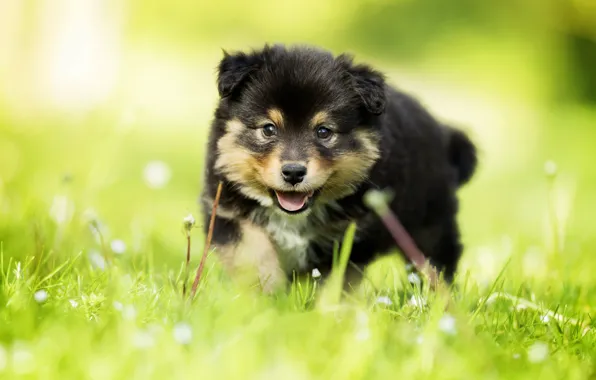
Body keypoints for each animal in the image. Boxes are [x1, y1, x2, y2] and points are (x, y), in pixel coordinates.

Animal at [200, 44, 480, 294]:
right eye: (268, 129)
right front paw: (265, 297)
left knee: (436, 264)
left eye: (324, 132)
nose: (293, 172)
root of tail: (444, 135)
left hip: (430, 226)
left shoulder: (352, 235)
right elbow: (252, 254)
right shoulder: (225, 209)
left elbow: (336, 282)